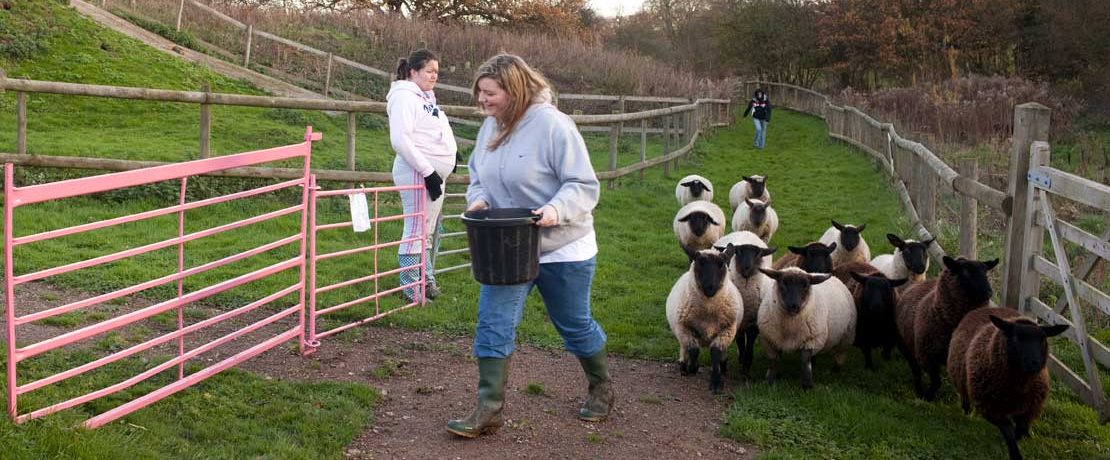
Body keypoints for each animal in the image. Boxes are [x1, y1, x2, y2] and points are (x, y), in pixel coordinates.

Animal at [666, 246, 745, 393]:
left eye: (721, 264)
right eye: (700, 263)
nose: (710, 287)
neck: (708, 309)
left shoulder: (727, 330)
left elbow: (715, 352)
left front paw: (716, 382)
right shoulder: (684, 328)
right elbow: (693, 350)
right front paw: (692, 367)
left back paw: (723, 366)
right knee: (685, 347)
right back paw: (684, 365)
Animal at [892, 255, 999, 400]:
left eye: (985, 272)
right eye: (965, 272)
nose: (988, 292)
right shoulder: (926, 356)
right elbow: (936, 381)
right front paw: (927, 397)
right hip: (905, 345)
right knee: (915, 370)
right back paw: (919, 389)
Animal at [945, 304, 1065, 460]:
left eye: (1042, 340)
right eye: (1016, 339)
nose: (1034, 364)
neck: (1019, 384)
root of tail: (988, 308)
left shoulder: (1030, 408)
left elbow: (1021, 428)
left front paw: (1020, 438)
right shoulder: (990, 408)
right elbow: (1008, 429)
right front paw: (1014, 453)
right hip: (963, 382)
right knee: (965, 399)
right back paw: (966, 414)